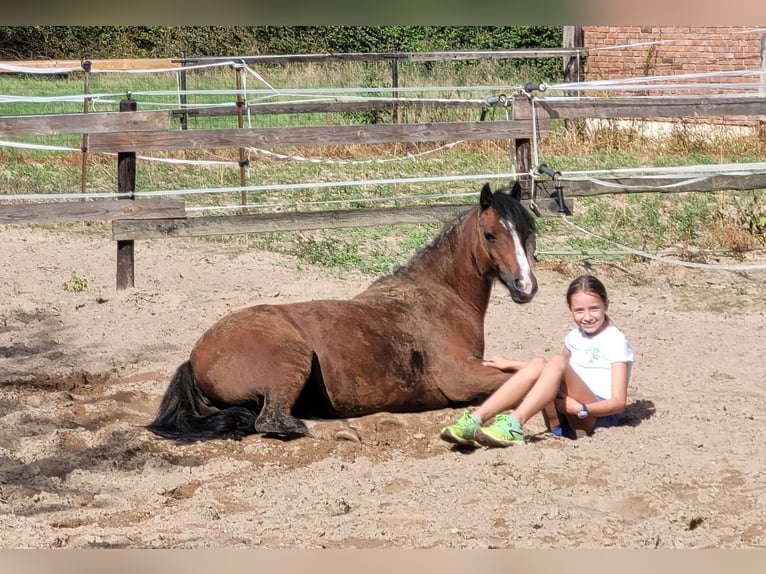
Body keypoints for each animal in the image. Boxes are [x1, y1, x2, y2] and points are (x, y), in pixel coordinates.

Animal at [146, 182, 540, 444]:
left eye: (527, 230)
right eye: (490, 234)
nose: (525, 285)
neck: (441, 296)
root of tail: (195, 356)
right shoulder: (461, 377)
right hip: (291, 362)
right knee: (274, 422)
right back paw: (344, 429)